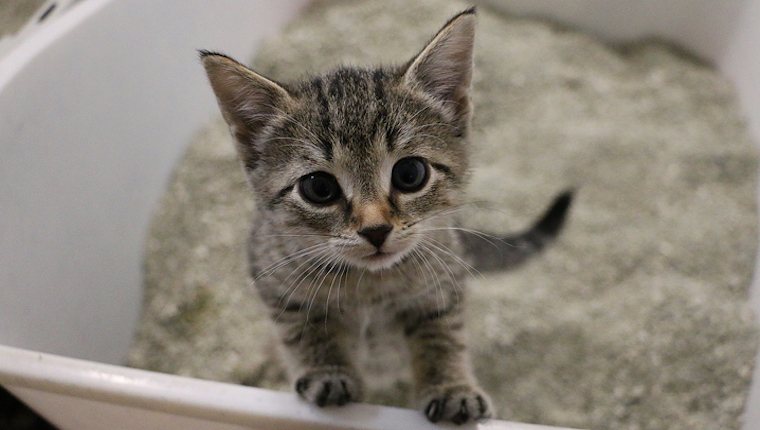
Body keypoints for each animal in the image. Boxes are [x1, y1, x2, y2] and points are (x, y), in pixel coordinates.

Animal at [200, 8, 568, 424]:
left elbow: (442, 337)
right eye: (319, 188)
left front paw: (451, 387)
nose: (375, 229)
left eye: (410, 174)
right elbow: (305, 333)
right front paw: (328, 371)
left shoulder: (443, 284)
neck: (369, 286)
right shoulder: (275, 282)